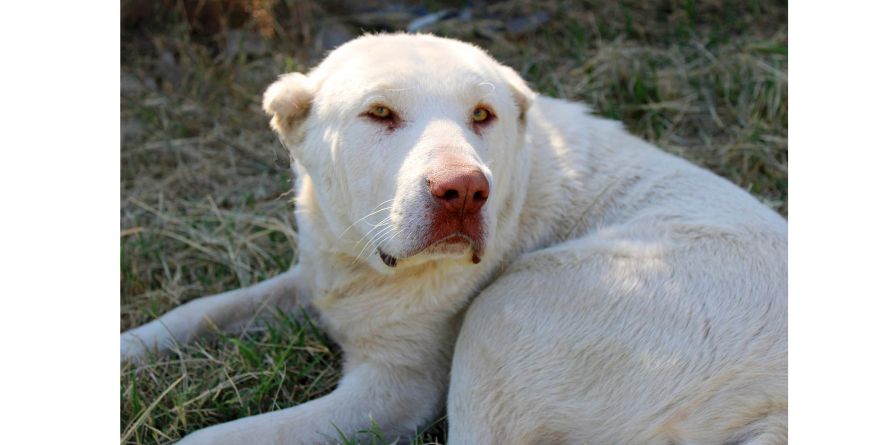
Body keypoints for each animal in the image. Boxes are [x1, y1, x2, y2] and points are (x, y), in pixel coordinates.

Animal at [119, 33, 792, 442]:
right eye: (379, 114)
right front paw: (129, 347)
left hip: (507, 309)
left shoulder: (392, 391)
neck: (368, 267)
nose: (464, 190)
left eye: (481, 116)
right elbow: (202, 309)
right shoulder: (314, 272)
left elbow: (215, 436)